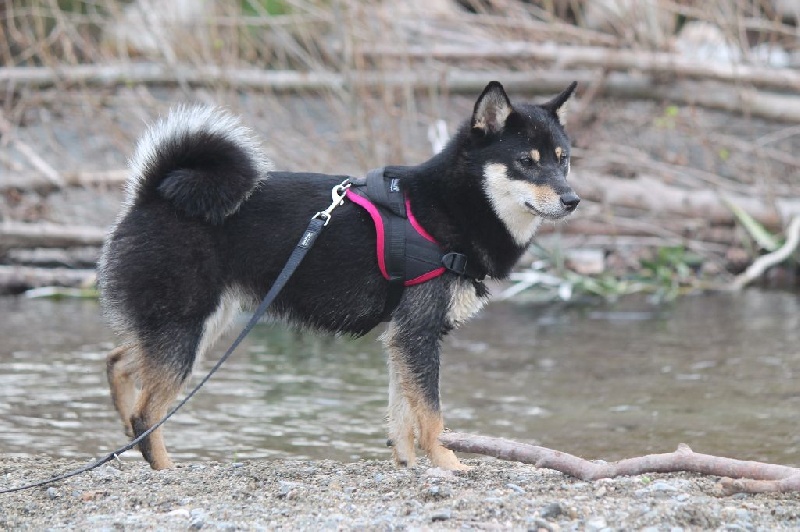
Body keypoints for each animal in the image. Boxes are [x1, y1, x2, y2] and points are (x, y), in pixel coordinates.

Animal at [97, 81, 580, 472]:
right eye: (526, 161)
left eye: (563, 161)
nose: (573, 200)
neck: (450, 205)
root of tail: (151, 194)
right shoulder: (418, 334)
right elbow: (431, 416)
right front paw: (447, 463)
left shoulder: (402, 338)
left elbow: (403, 416)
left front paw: (408, 464)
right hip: (185, 329)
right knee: (147, 410)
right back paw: (163, 466)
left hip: (200, 327)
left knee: (120, 362)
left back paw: (125, 432)